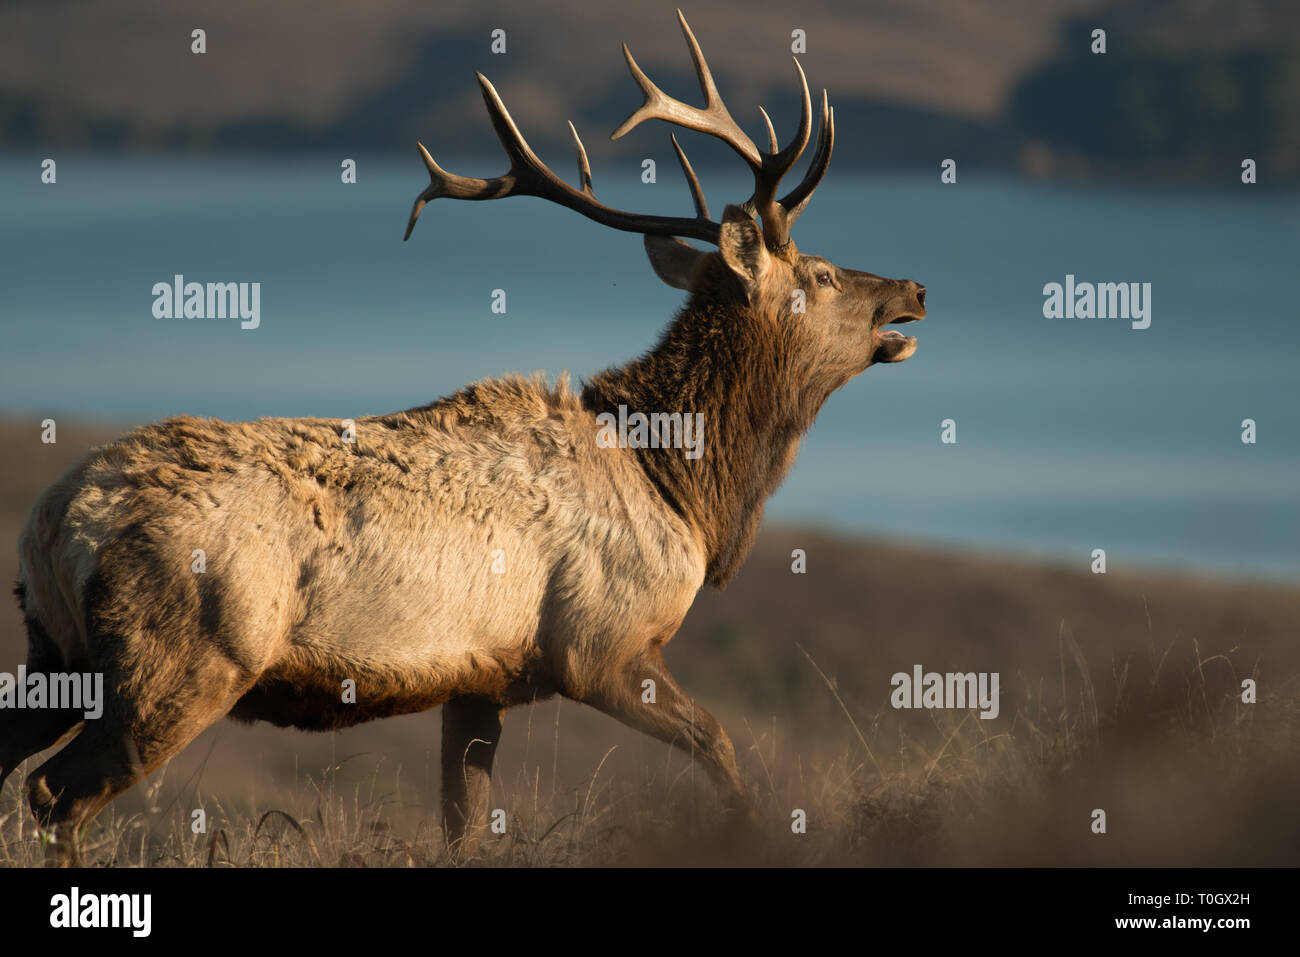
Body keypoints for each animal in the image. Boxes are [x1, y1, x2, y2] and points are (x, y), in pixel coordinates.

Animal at [4, 10, 924, 865]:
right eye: (822, 274)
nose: (914, 287)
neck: (682, 488)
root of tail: (55, 522)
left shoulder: (482, 680)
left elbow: (465, 822)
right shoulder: (599, 644)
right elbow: (724, 748)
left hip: (54, 651)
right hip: (183, 658)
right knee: (56, 792)